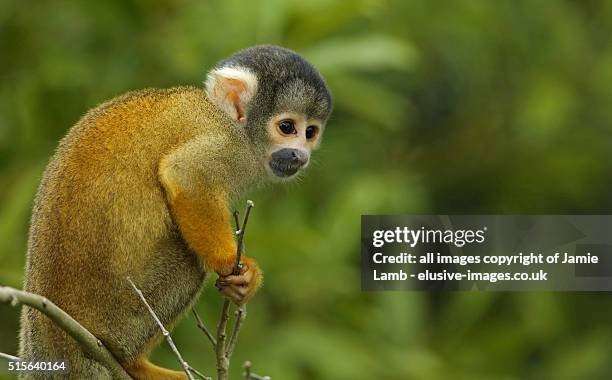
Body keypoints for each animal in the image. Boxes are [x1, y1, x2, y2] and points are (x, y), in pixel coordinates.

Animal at [19, 46, 332, 378]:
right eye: (287, 127)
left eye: (310, 132)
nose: (300, 155)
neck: (228, 120)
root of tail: (50, 337)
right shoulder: (227, 145)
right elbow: (186, 177)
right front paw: (236, 268)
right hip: (118, 314)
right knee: (188, 260)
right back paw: (133, 363)